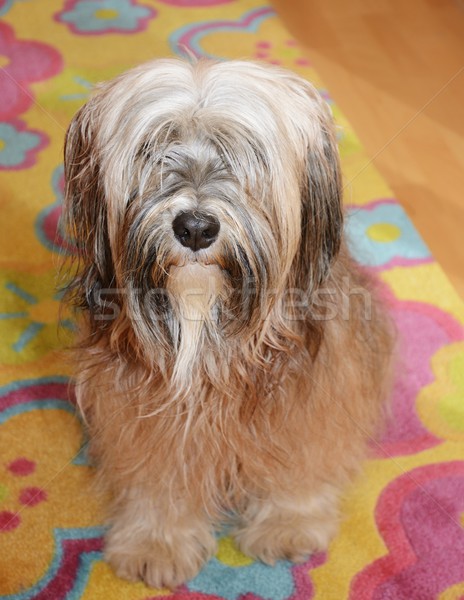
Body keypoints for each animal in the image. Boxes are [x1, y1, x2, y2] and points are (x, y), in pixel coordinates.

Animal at [61, 58, 394, 588]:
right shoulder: (138, 404)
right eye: (154, 150)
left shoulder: (312, 387)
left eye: (245, 156)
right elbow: (158, 472)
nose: (196, 227)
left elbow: (302, 456)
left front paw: (289, 522)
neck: (206, 323)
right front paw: (158, 539)